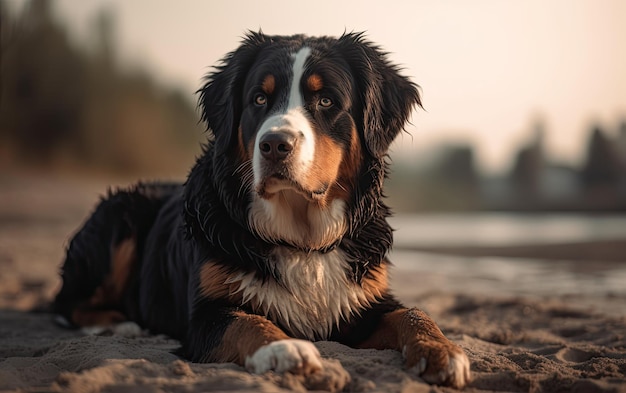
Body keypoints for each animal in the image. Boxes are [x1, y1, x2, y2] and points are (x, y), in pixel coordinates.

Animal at [53, 32, 470, 388]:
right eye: (258, 99)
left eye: (326, 101)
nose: (274, 145)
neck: (302, 238)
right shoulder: (206, 314)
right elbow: (248, 322)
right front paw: (284, 348)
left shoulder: (364, 302)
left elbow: (413, 313)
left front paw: (442, 350)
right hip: (119, 215)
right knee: (66, 302)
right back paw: (118, 325)